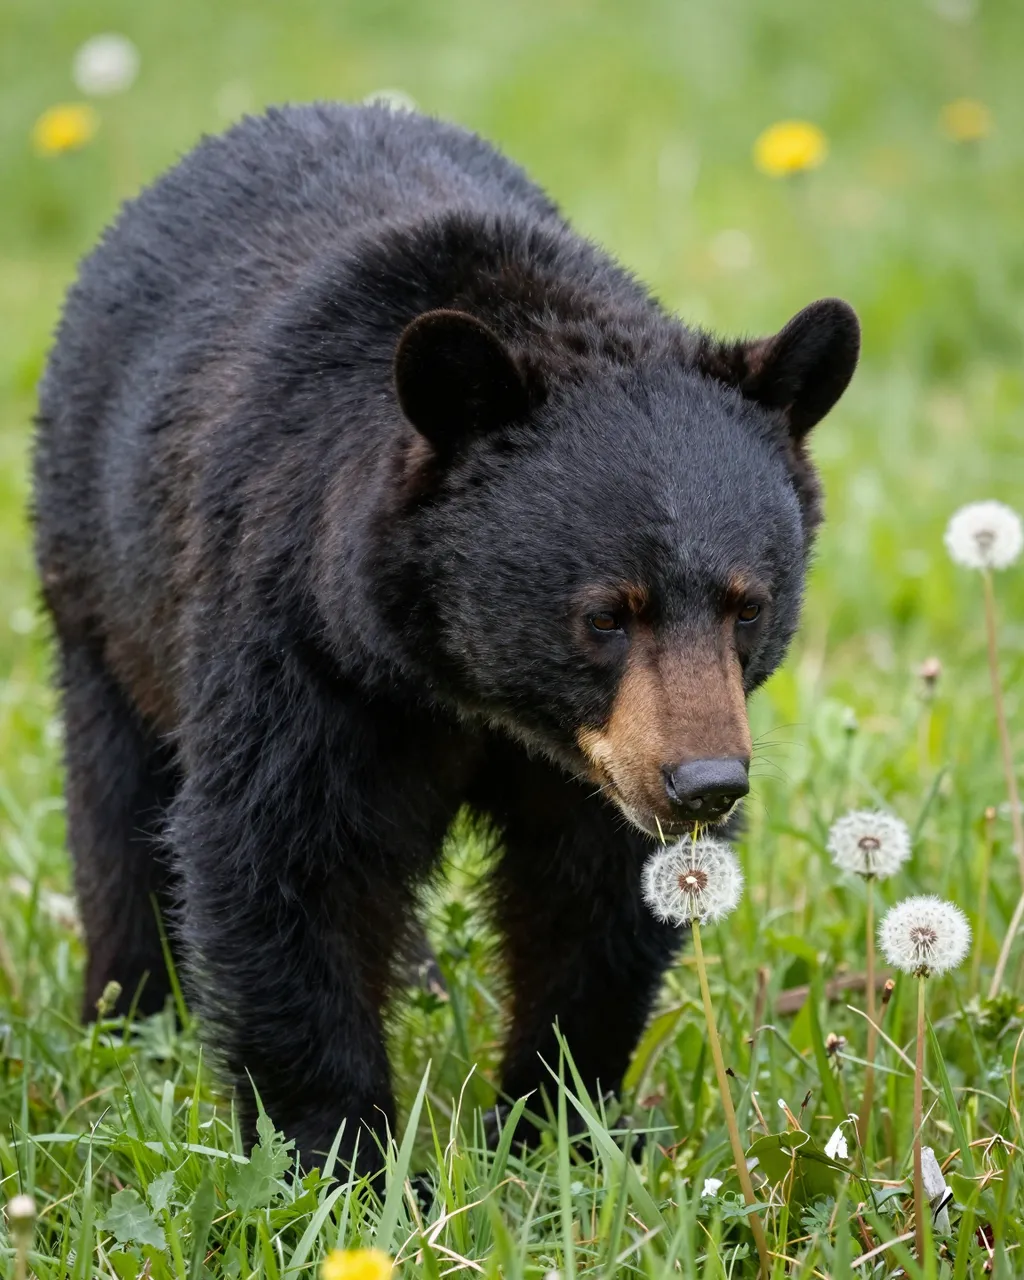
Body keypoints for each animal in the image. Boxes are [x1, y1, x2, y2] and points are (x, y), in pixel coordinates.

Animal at [32, 102, 859, 1171]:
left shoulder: (597, 767)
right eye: (605, 614)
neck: (465, 689)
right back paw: (130, 1014)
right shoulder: (298, 643)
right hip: (98, 580)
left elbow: (595, 897)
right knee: (118, 800)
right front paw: (343, 1156)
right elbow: (283, 859)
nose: (705, 784)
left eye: (747, 604)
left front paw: (558, 1122)